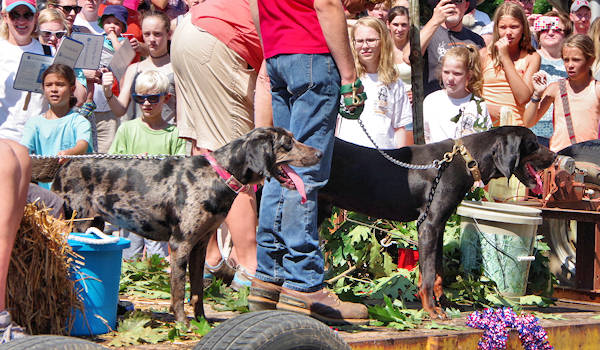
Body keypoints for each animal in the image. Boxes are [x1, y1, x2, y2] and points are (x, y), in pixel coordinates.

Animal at [54, 127, 322, 324]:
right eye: (288, 143)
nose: (320, 153)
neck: (218, 175)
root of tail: (65, 165)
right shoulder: (180, 244)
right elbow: (179, 290)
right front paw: (182, 323)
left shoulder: (200, 246)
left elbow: (197, 290)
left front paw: (202, 321)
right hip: (78, 223)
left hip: (96, 223)